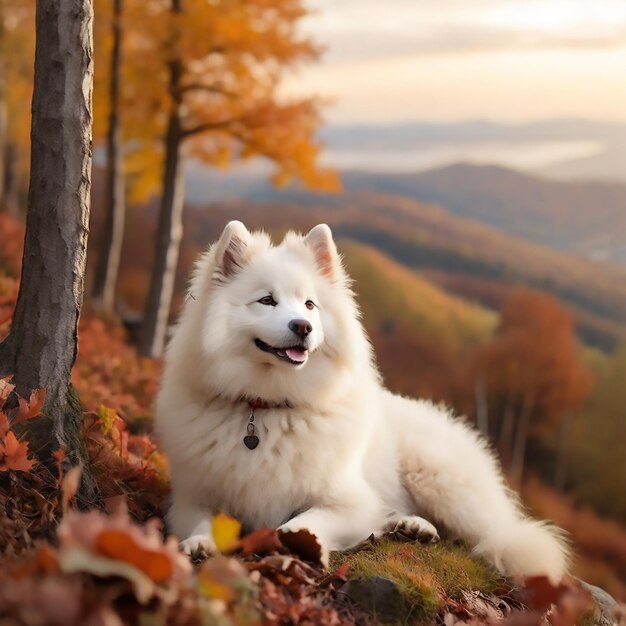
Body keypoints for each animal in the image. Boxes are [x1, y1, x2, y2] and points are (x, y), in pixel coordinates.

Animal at [155, 219, 564, 580]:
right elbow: (199, 520)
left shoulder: (351, 502)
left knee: (491, 533)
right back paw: (408, 525)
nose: (302, 327)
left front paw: (301, 545)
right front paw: (199, 543)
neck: (268, 407)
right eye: (267, 300)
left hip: (438, 479)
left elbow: (301, 524)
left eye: (309, 305)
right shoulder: (191, 497)